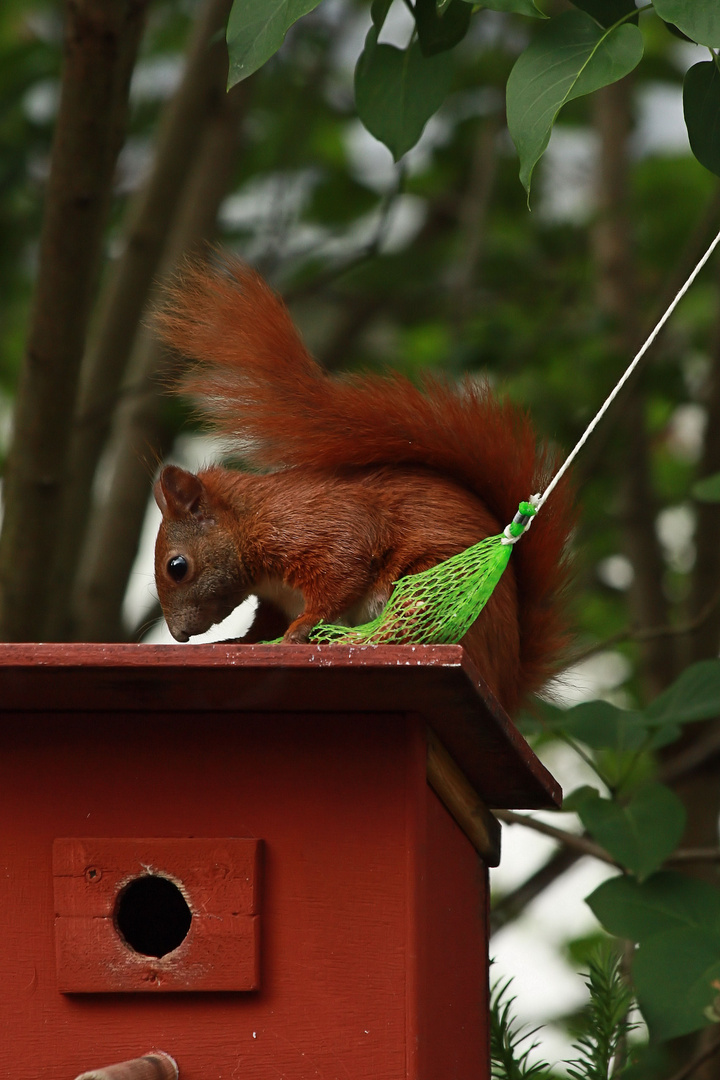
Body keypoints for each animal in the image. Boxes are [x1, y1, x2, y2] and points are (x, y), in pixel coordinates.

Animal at [153, 255, 574, 712]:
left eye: (177, 567)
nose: (178, 636)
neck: (251, 519)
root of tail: (503, 685)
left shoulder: (317, 527)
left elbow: (342, 573)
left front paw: (301, 628)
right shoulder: (275, 598)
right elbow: (264, 625)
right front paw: (239, 643)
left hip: (424, 584)